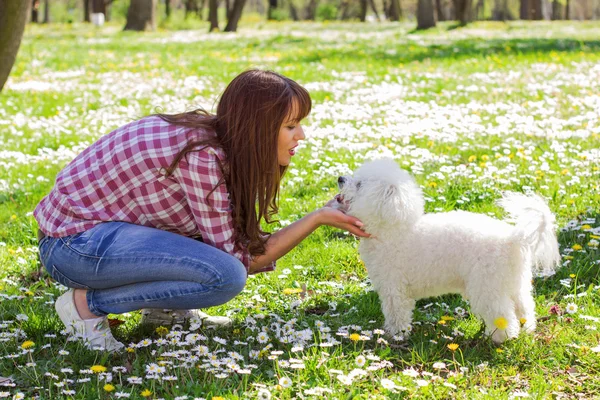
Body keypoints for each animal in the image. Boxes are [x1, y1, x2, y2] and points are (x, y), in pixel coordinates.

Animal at [336, 158, 560, 342]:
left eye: (359, 184)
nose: (340, 178)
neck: (392, 228)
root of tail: (513, 239)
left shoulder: (394, 287)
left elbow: (396, 313)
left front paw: (396, 335)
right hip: (514, 282)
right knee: (524, 307)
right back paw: (527, 329)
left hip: (487, 284)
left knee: (502, 314)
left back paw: (499, 338)